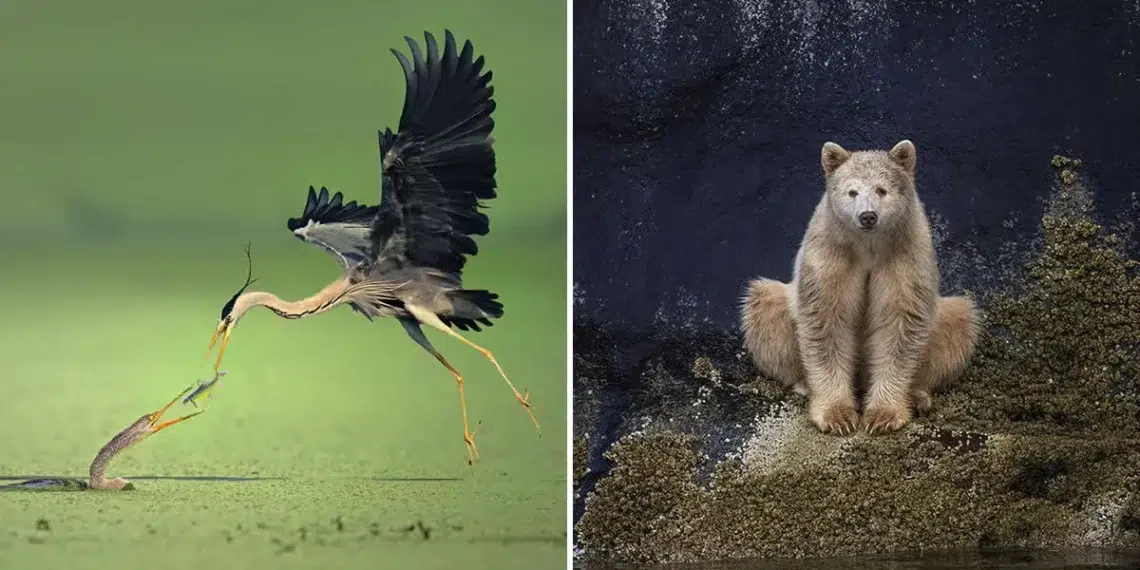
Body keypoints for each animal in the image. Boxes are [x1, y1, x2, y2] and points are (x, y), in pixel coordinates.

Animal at [739, 140, 979, 435]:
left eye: (881, 190)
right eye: (852, 191)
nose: (868, 216)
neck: (868, 244)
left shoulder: (904, 250)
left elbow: (900, 322)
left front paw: (883, 415)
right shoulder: (831, 251)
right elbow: (825, 320)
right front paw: (838, 416)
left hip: (946, 318)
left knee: (959, 321)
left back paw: (918, 395)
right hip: (776, 305)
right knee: (764, 306)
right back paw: (803, 384)